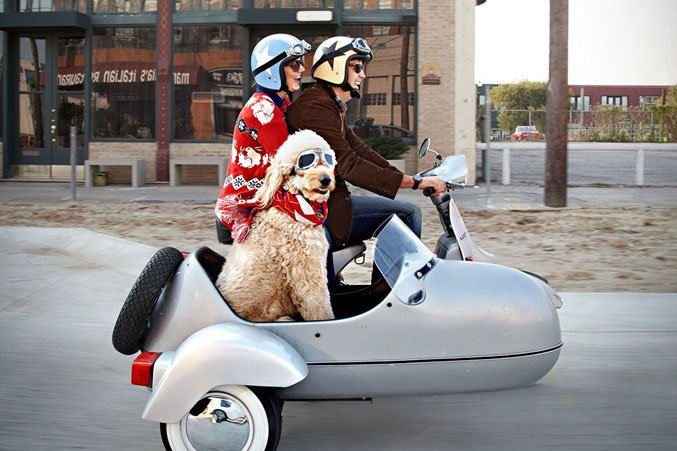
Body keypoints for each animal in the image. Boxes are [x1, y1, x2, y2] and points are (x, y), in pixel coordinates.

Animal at [217, 129, 336, 324]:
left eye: (328, 160)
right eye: (304, 163)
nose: (326, 179)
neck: (293, 208)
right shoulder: (306, 268)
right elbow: (319, 308)